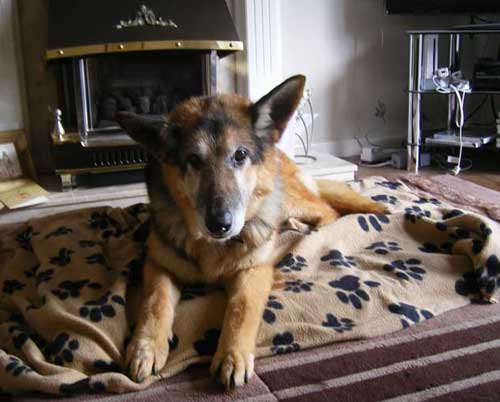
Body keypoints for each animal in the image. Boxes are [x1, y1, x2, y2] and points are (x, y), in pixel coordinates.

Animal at [115, 74, 384, 388]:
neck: (213, 246)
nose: (220, 224)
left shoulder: (253, 269)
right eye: (193, 160)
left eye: (240, 154)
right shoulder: (159, 263)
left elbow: (241, 307)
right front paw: (145, 347)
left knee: (328, 212)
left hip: (290, 200)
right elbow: (154, 302)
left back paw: (300, 227)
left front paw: (232, 355)